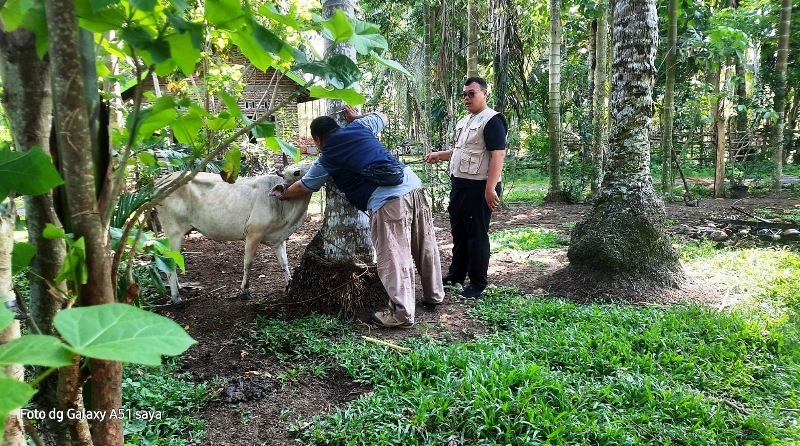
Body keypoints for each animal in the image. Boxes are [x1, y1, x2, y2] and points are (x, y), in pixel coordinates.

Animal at [158, 164, 314, 304]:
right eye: (296, 172)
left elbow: (284, 262)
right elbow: (248, 262)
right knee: (170, 260)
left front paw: (290, 283)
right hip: (173, 231)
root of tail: (163, 180)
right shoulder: (253, 233)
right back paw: (176, 298)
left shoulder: (279, 239)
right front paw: (244, 291)